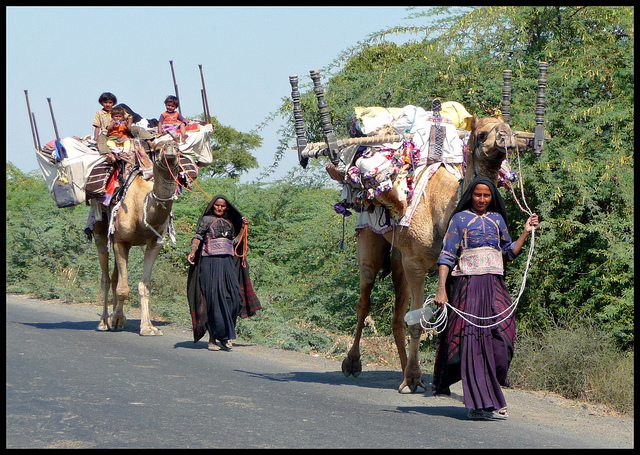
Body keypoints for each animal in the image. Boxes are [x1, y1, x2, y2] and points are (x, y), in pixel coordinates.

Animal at [91, 144, 180, 336]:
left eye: (177, 147)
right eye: (159, 148)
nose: (170, 150)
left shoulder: (155, 243)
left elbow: (144, 285)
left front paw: (147, 327)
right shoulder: (120, 241)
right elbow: (123, 289)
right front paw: (115, 320)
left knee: (115, 276)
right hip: (100, 231)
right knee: (106, 278)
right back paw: (104, 322)